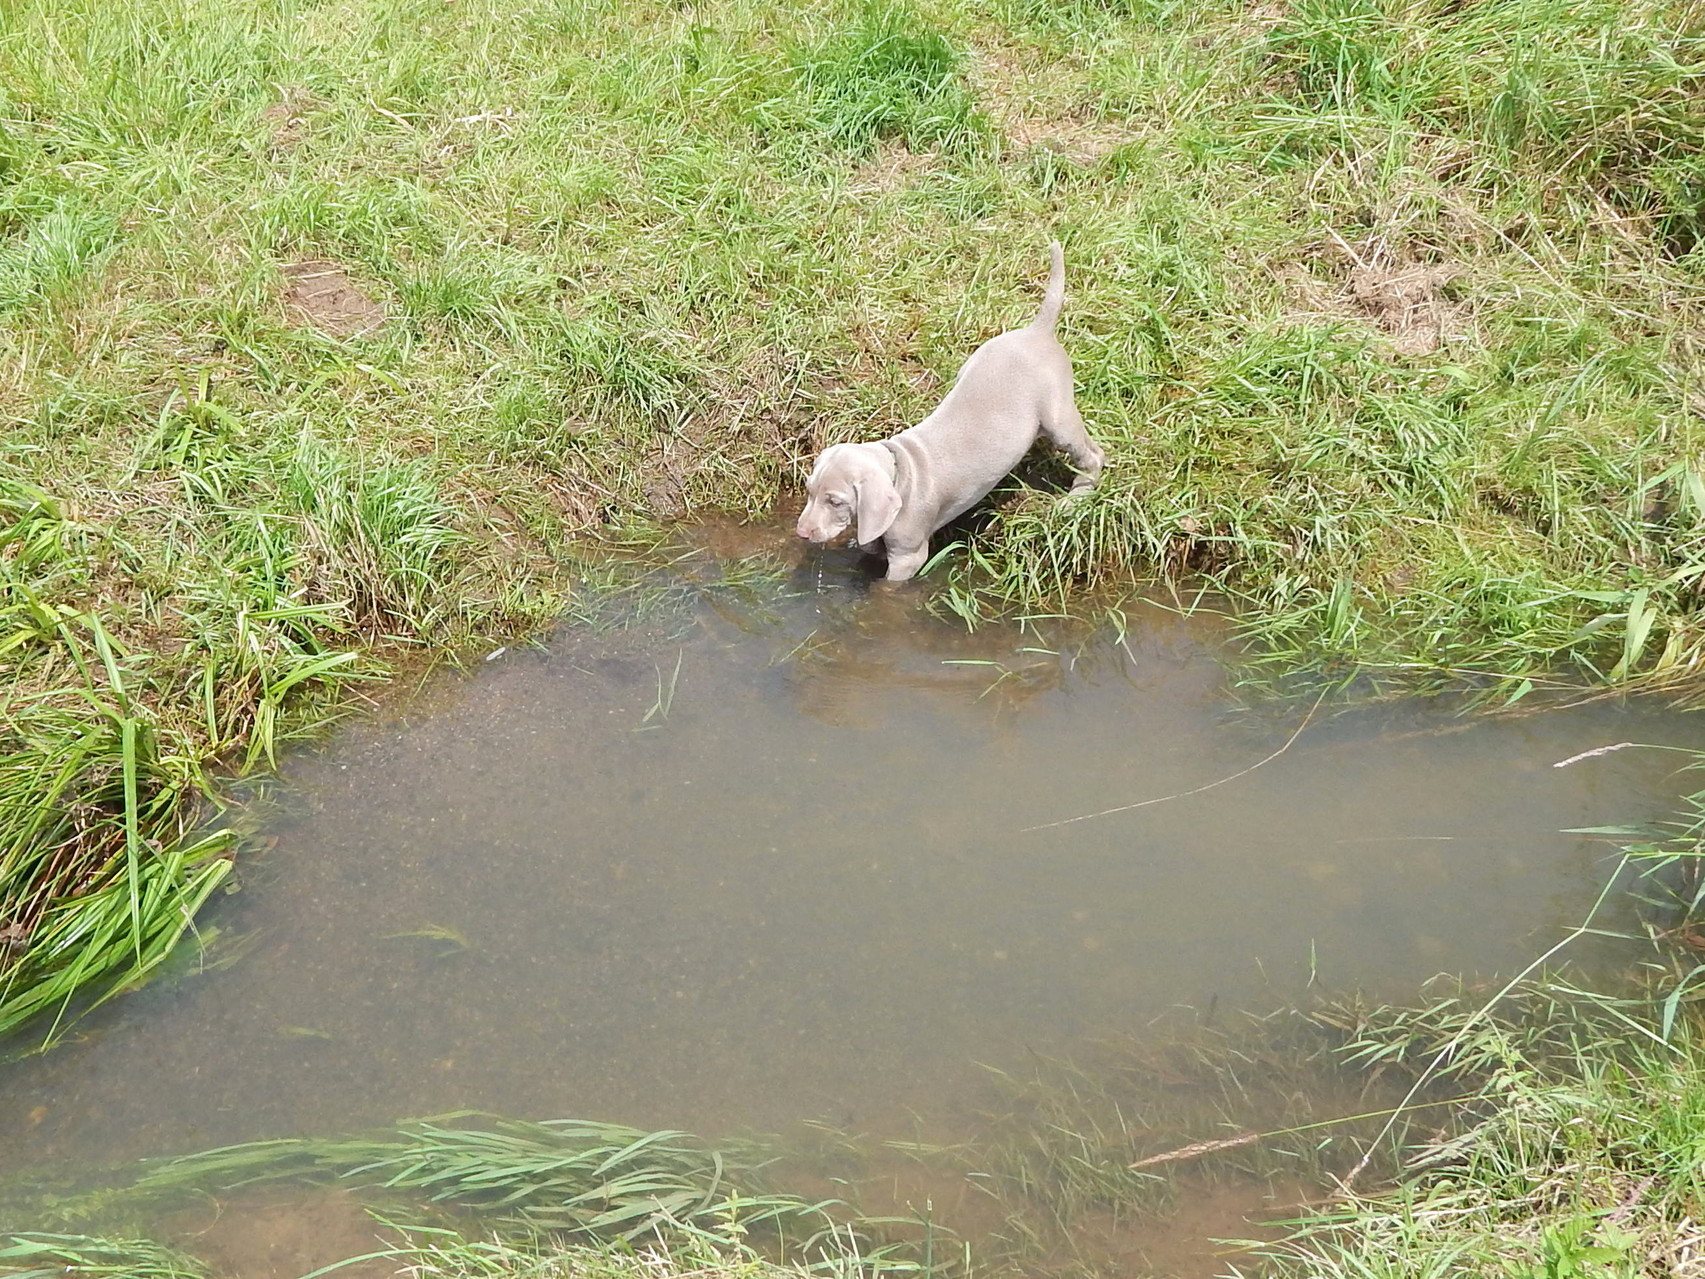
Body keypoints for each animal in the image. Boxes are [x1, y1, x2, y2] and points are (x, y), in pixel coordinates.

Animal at [787, 242, 1098, 579]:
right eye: (809, 491)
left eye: (835, 501)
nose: (802, 533)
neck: (903, 471)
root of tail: (1037, 331)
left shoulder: (908, 556)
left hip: (1058, 415)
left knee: (1092, 454)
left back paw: (1078, 496)